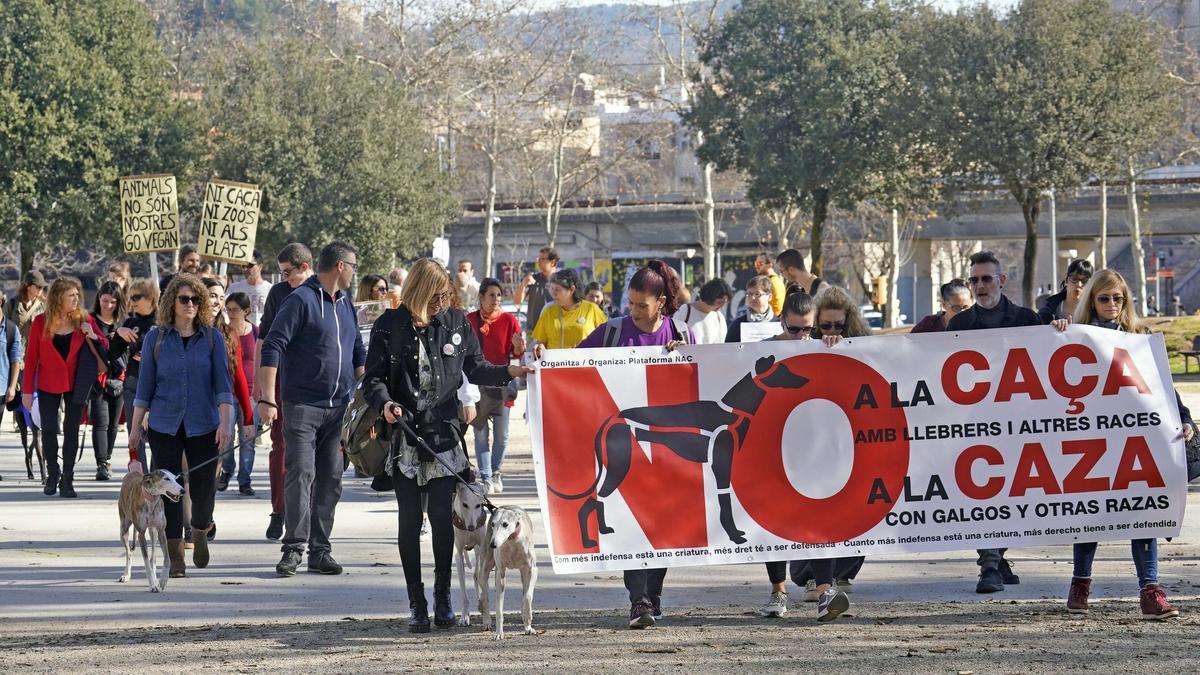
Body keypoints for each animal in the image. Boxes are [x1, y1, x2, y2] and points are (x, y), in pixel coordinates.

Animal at [451, 478, 489, 624]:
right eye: (465, 504)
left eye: (478, 505)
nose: (472, 527)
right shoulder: (458, 555)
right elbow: (463, 593)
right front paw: (464, 617)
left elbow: (481, 580)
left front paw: (486, 616)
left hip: (479, 550)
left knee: (476, 575)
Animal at [475, 504, 537, 634]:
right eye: (493, 524)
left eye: (505, 524)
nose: (493, 545)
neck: (512, 540)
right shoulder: (500, 573)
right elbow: (499, 608)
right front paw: (499, 633)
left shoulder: (532, 570)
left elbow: (527, 597)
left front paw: (528, 622)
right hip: (484, 569)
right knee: (485, 596)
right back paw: (487, 621)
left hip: (523, 572)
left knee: (525, 591)